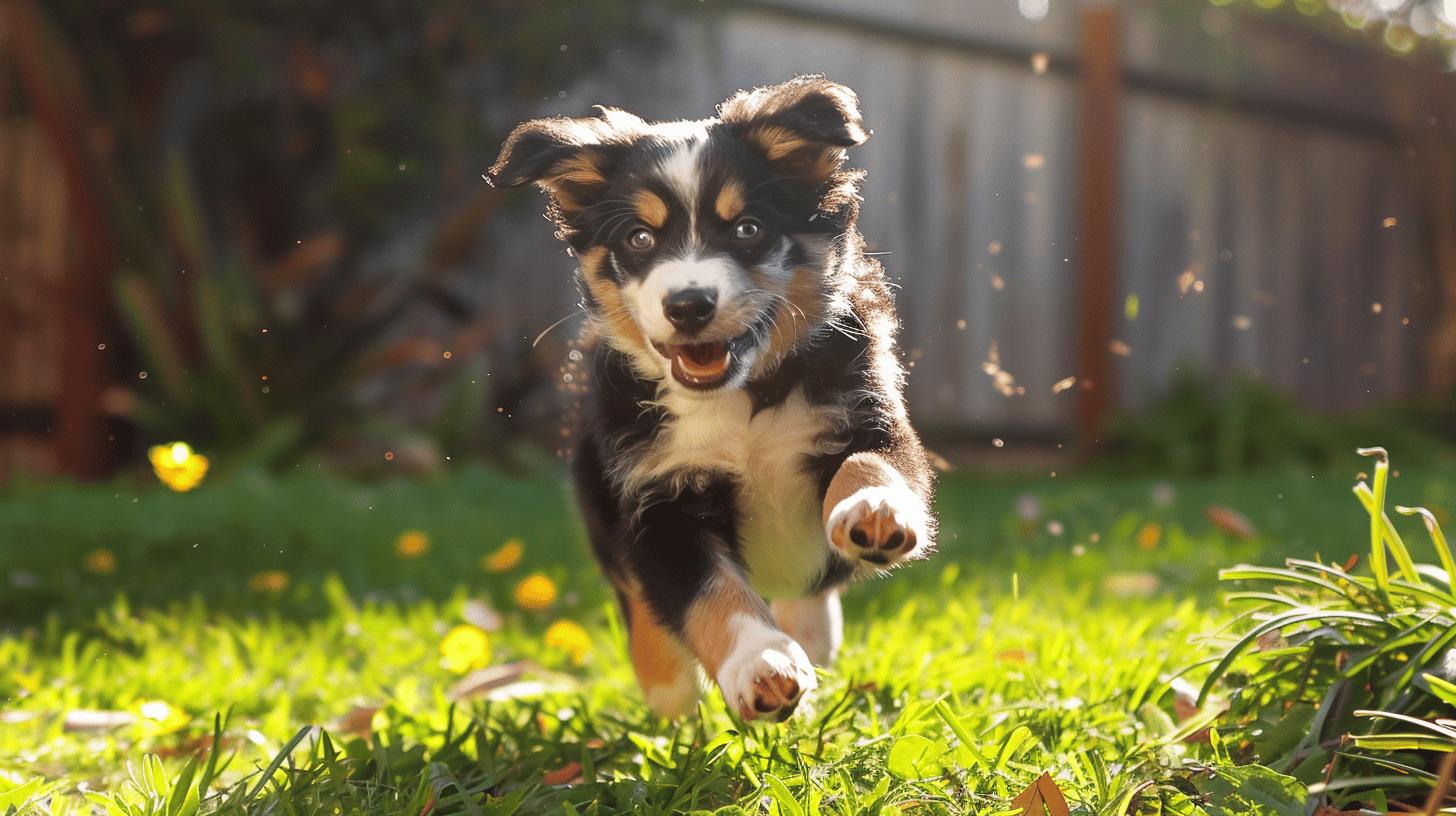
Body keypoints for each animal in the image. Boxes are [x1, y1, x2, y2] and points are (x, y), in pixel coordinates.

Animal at [489, 76, 937, 719]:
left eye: (747, 228)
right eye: (639, 237)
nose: (687, 305)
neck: (739, 400)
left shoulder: (869, 413)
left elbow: (874, 463)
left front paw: (874, 510)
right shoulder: (656, 496)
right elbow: (708, 594)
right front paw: (760, 664)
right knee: (639, 601)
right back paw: (670, 689)